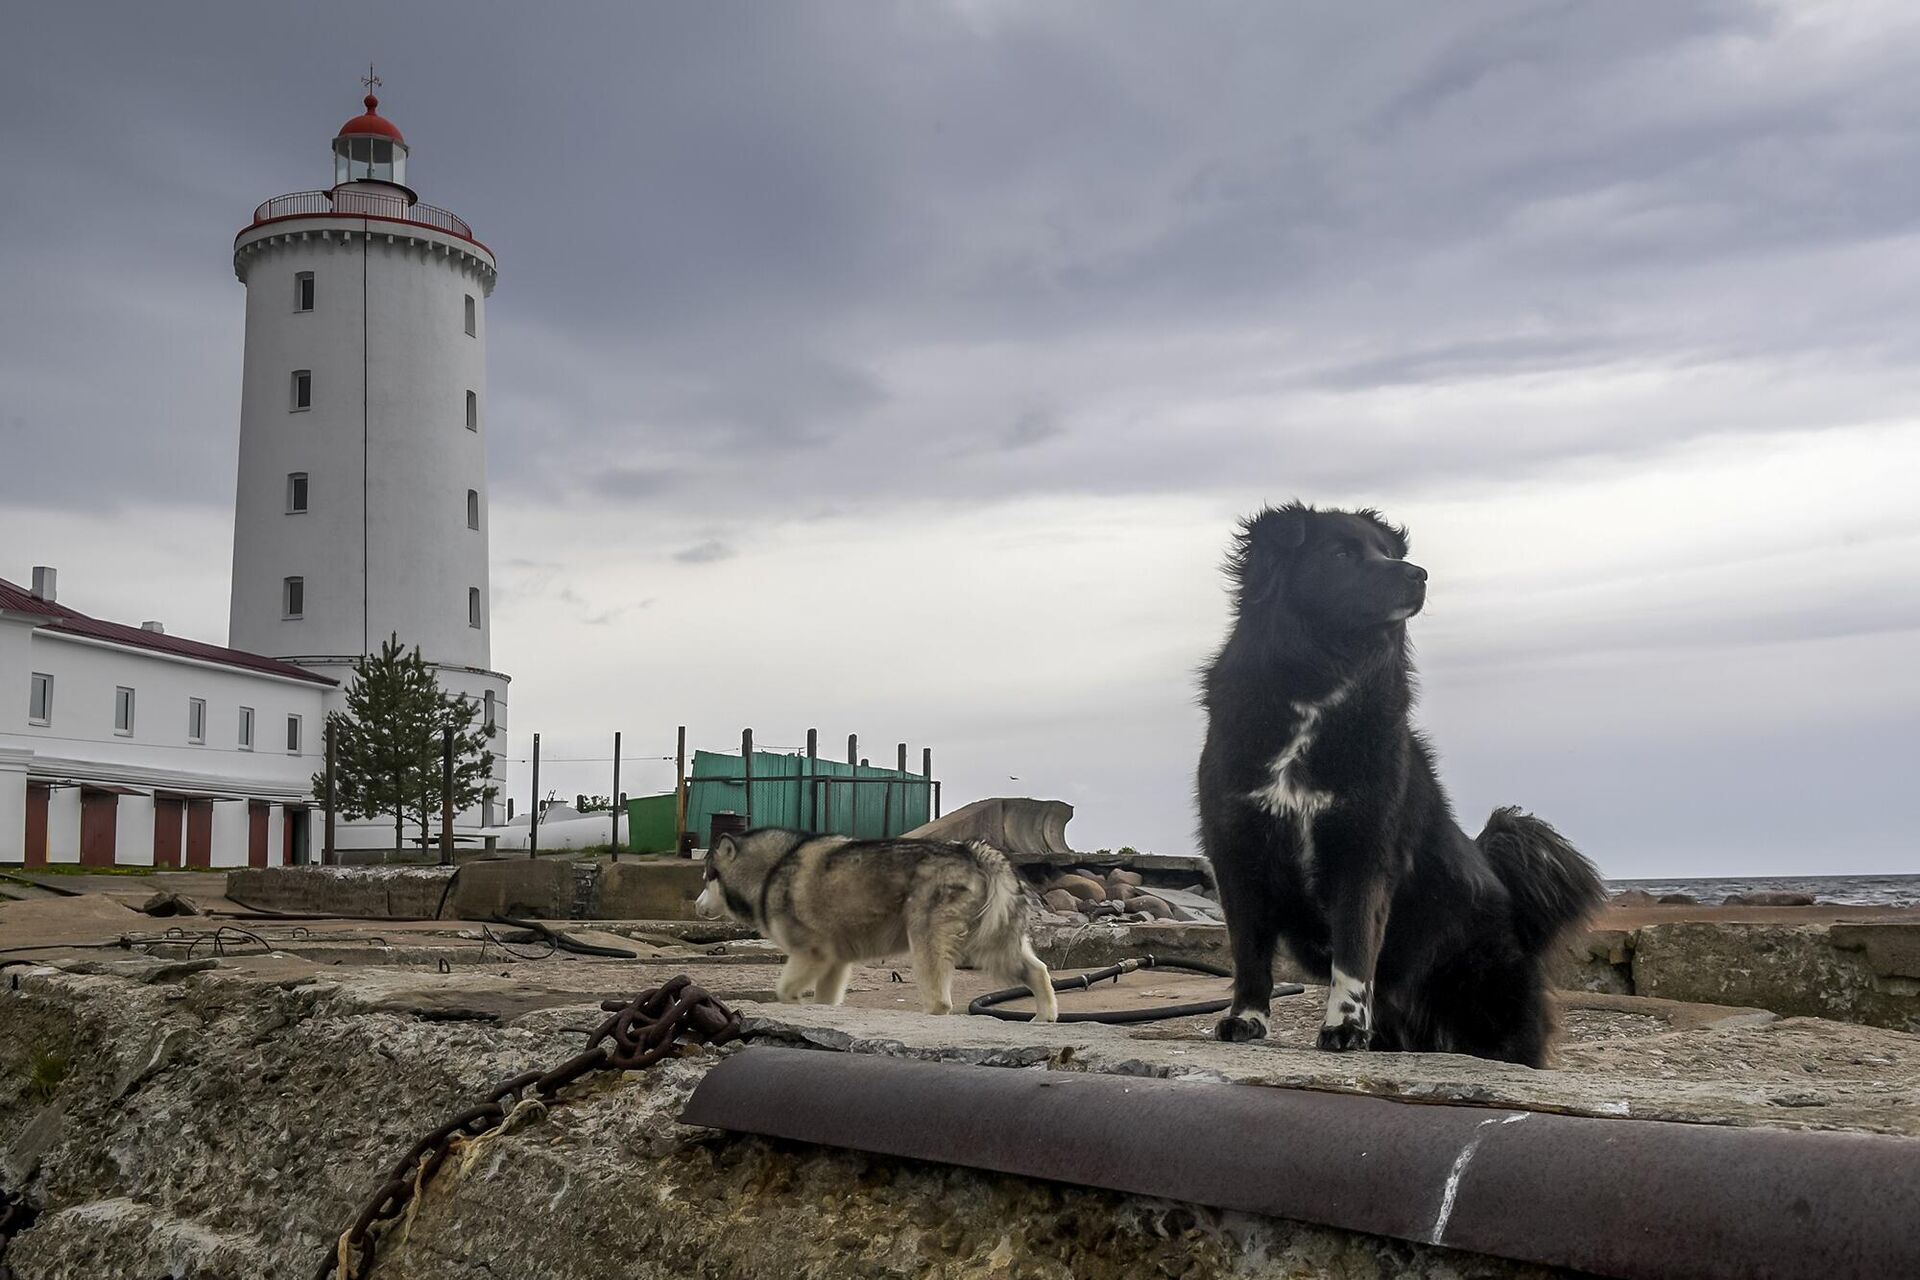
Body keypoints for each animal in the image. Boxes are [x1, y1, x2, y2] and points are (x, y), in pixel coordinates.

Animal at [691, 832, 1059, 1020]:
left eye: (707, 877)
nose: (695, 906)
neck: (771, 870)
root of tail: (973, 851)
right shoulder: (834, 962)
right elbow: (826, 1000)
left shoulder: (812, 954)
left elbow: (784, 991)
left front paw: (795, 1006)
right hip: (990, 944)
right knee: (1038, 970)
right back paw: (1044, 1019)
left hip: (928, 942)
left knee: (941, 1002)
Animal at [1198, 506, 1605, 1066]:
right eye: (1341, 554)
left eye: (1389, 553)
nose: (1419, 574)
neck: (1316, 688)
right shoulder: (1237, 850)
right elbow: (1249, 953)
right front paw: (1246, 1019)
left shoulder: (1364, 849)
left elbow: (1352, 951)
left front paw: (1345, 1028)